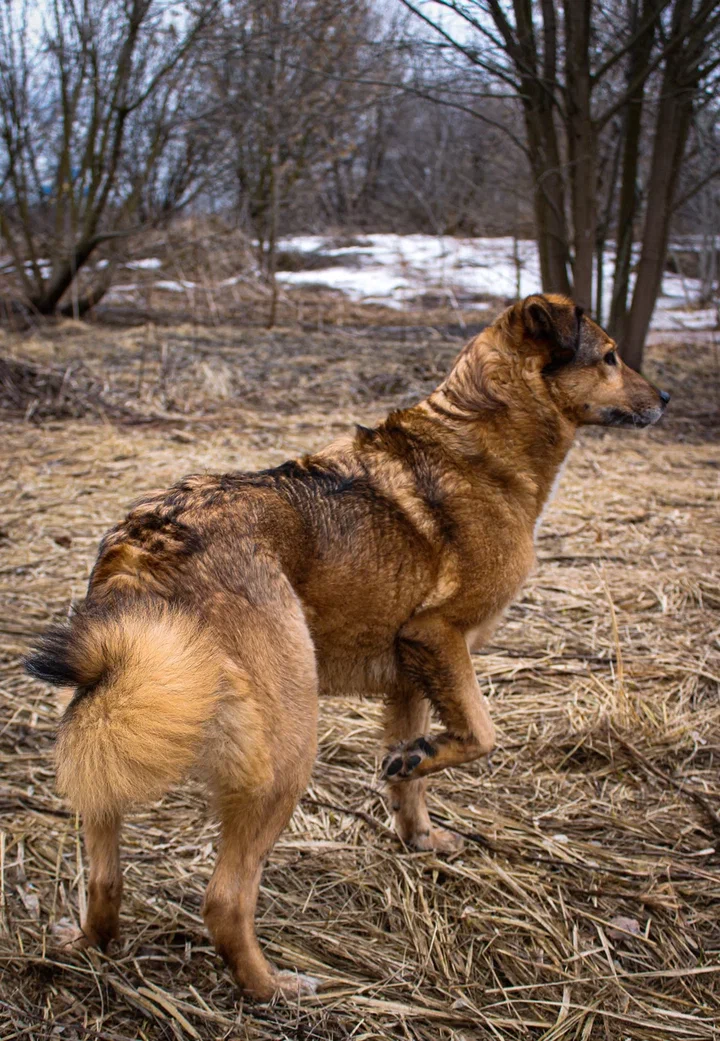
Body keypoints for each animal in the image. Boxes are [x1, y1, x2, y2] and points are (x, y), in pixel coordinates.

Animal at [26, 295, 670, 999]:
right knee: (225, 899)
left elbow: (414, 784)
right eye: (610, 357)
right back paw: (273, 988)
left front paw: (419, 827)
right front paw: (420, 759)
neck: (480, 436)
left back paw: (91, 941)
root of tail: (147, 544)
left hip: (116, 720)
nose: (665, 398)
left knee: (104, 872)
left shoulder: (410, 677)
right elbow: (480, 734)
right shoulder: (438, 636)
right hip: (288, 741)